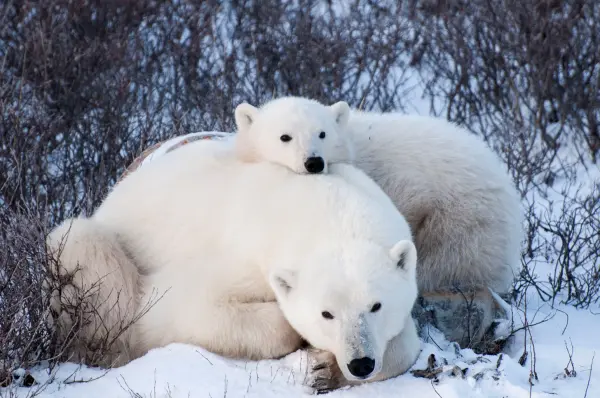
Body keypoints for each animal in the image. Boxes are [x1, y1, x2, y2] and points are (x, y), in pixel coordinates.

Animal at [47, 138, 422, 390]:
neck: (328, 210)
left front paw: (324, 369)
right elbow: (185, 307)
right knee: (84, 247)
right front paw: (302, 343)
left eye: (376, 306)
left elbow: (406, 343)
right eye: (326, 313)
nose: (360, 363)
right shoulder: (244, 255)